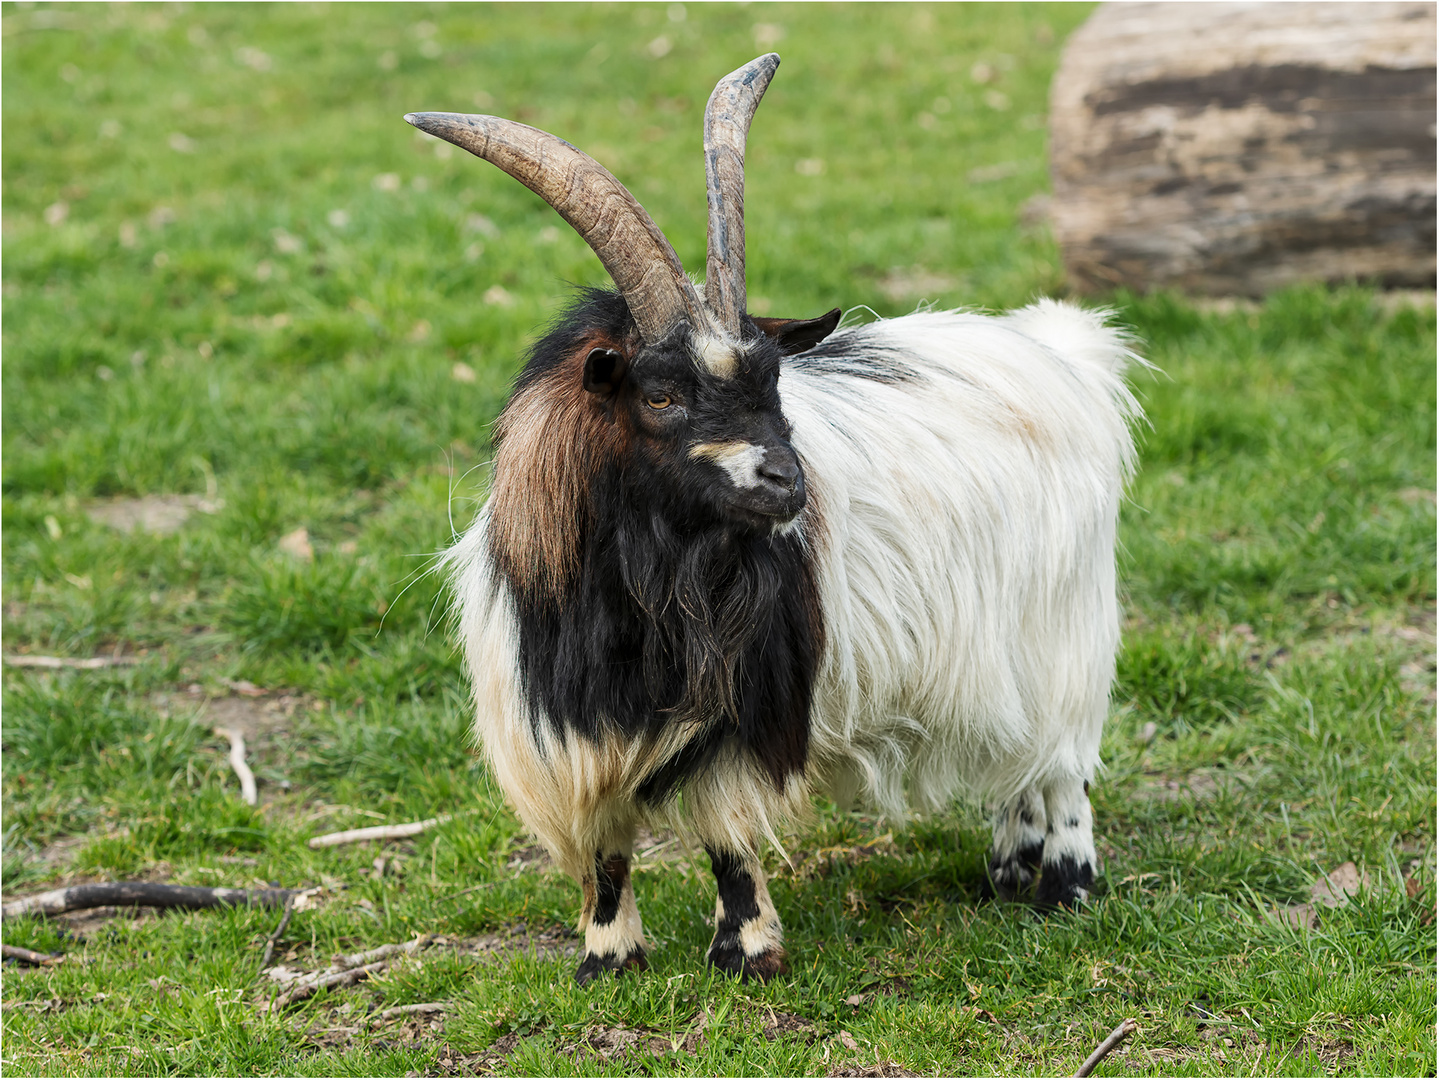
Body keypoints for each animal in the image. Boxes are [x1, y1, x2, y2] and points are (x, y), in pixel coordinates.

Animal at [408, 52, 1145, 989]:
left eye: (772, 379)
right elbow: (602, 854)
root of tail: (1064, 352)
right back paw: (1006, 872)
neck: (637, 598)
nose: (785, 482)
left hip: (1061, 628)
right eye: (659, 394)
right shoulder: (558, 731)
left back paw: (1063, 887)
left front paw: (747, 951)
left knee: (1062, 765)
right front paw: (607, 958)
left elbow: (726, 836)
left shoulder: (743, 710)